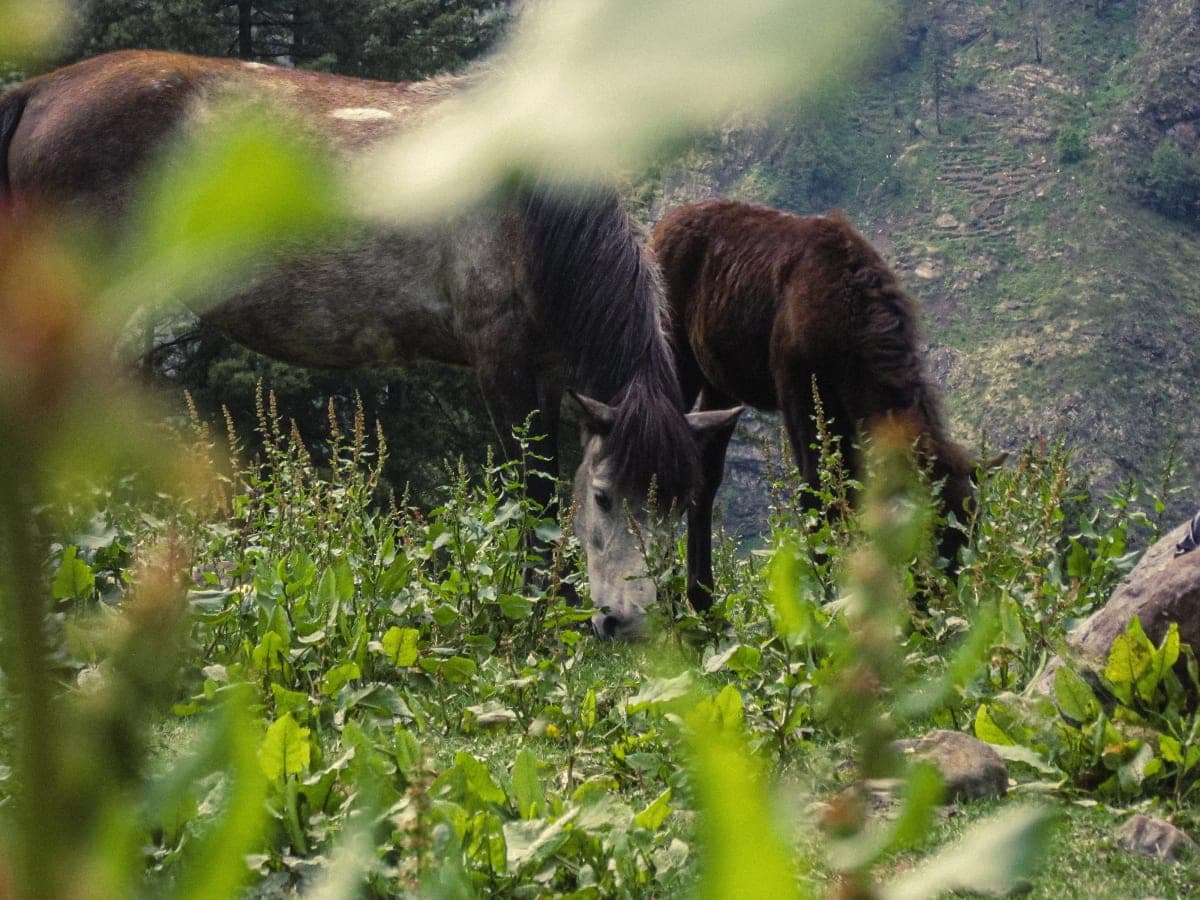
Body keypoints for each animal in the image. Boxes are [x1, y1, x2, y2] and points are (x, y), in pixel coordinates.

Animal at [0, 50, 740, 638]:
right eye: (607, 497)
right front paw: (539, 614)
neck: (529, 213)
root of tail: (38, 91)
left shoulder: (557, 375)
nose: (627, 623)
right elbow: (529, 492)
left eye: (676, 504)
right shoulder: (503, 362)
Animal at [650, 199, 992, 613]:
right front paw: (827, 596)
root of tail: (660, 228)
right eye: (930, 527)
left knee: (706, 472)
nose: (942, 597)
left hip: (718, 382)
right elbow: (816, 491)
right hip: (676, 356)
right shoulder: (796, 389)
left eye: (970, 525)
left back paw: (703, 598)